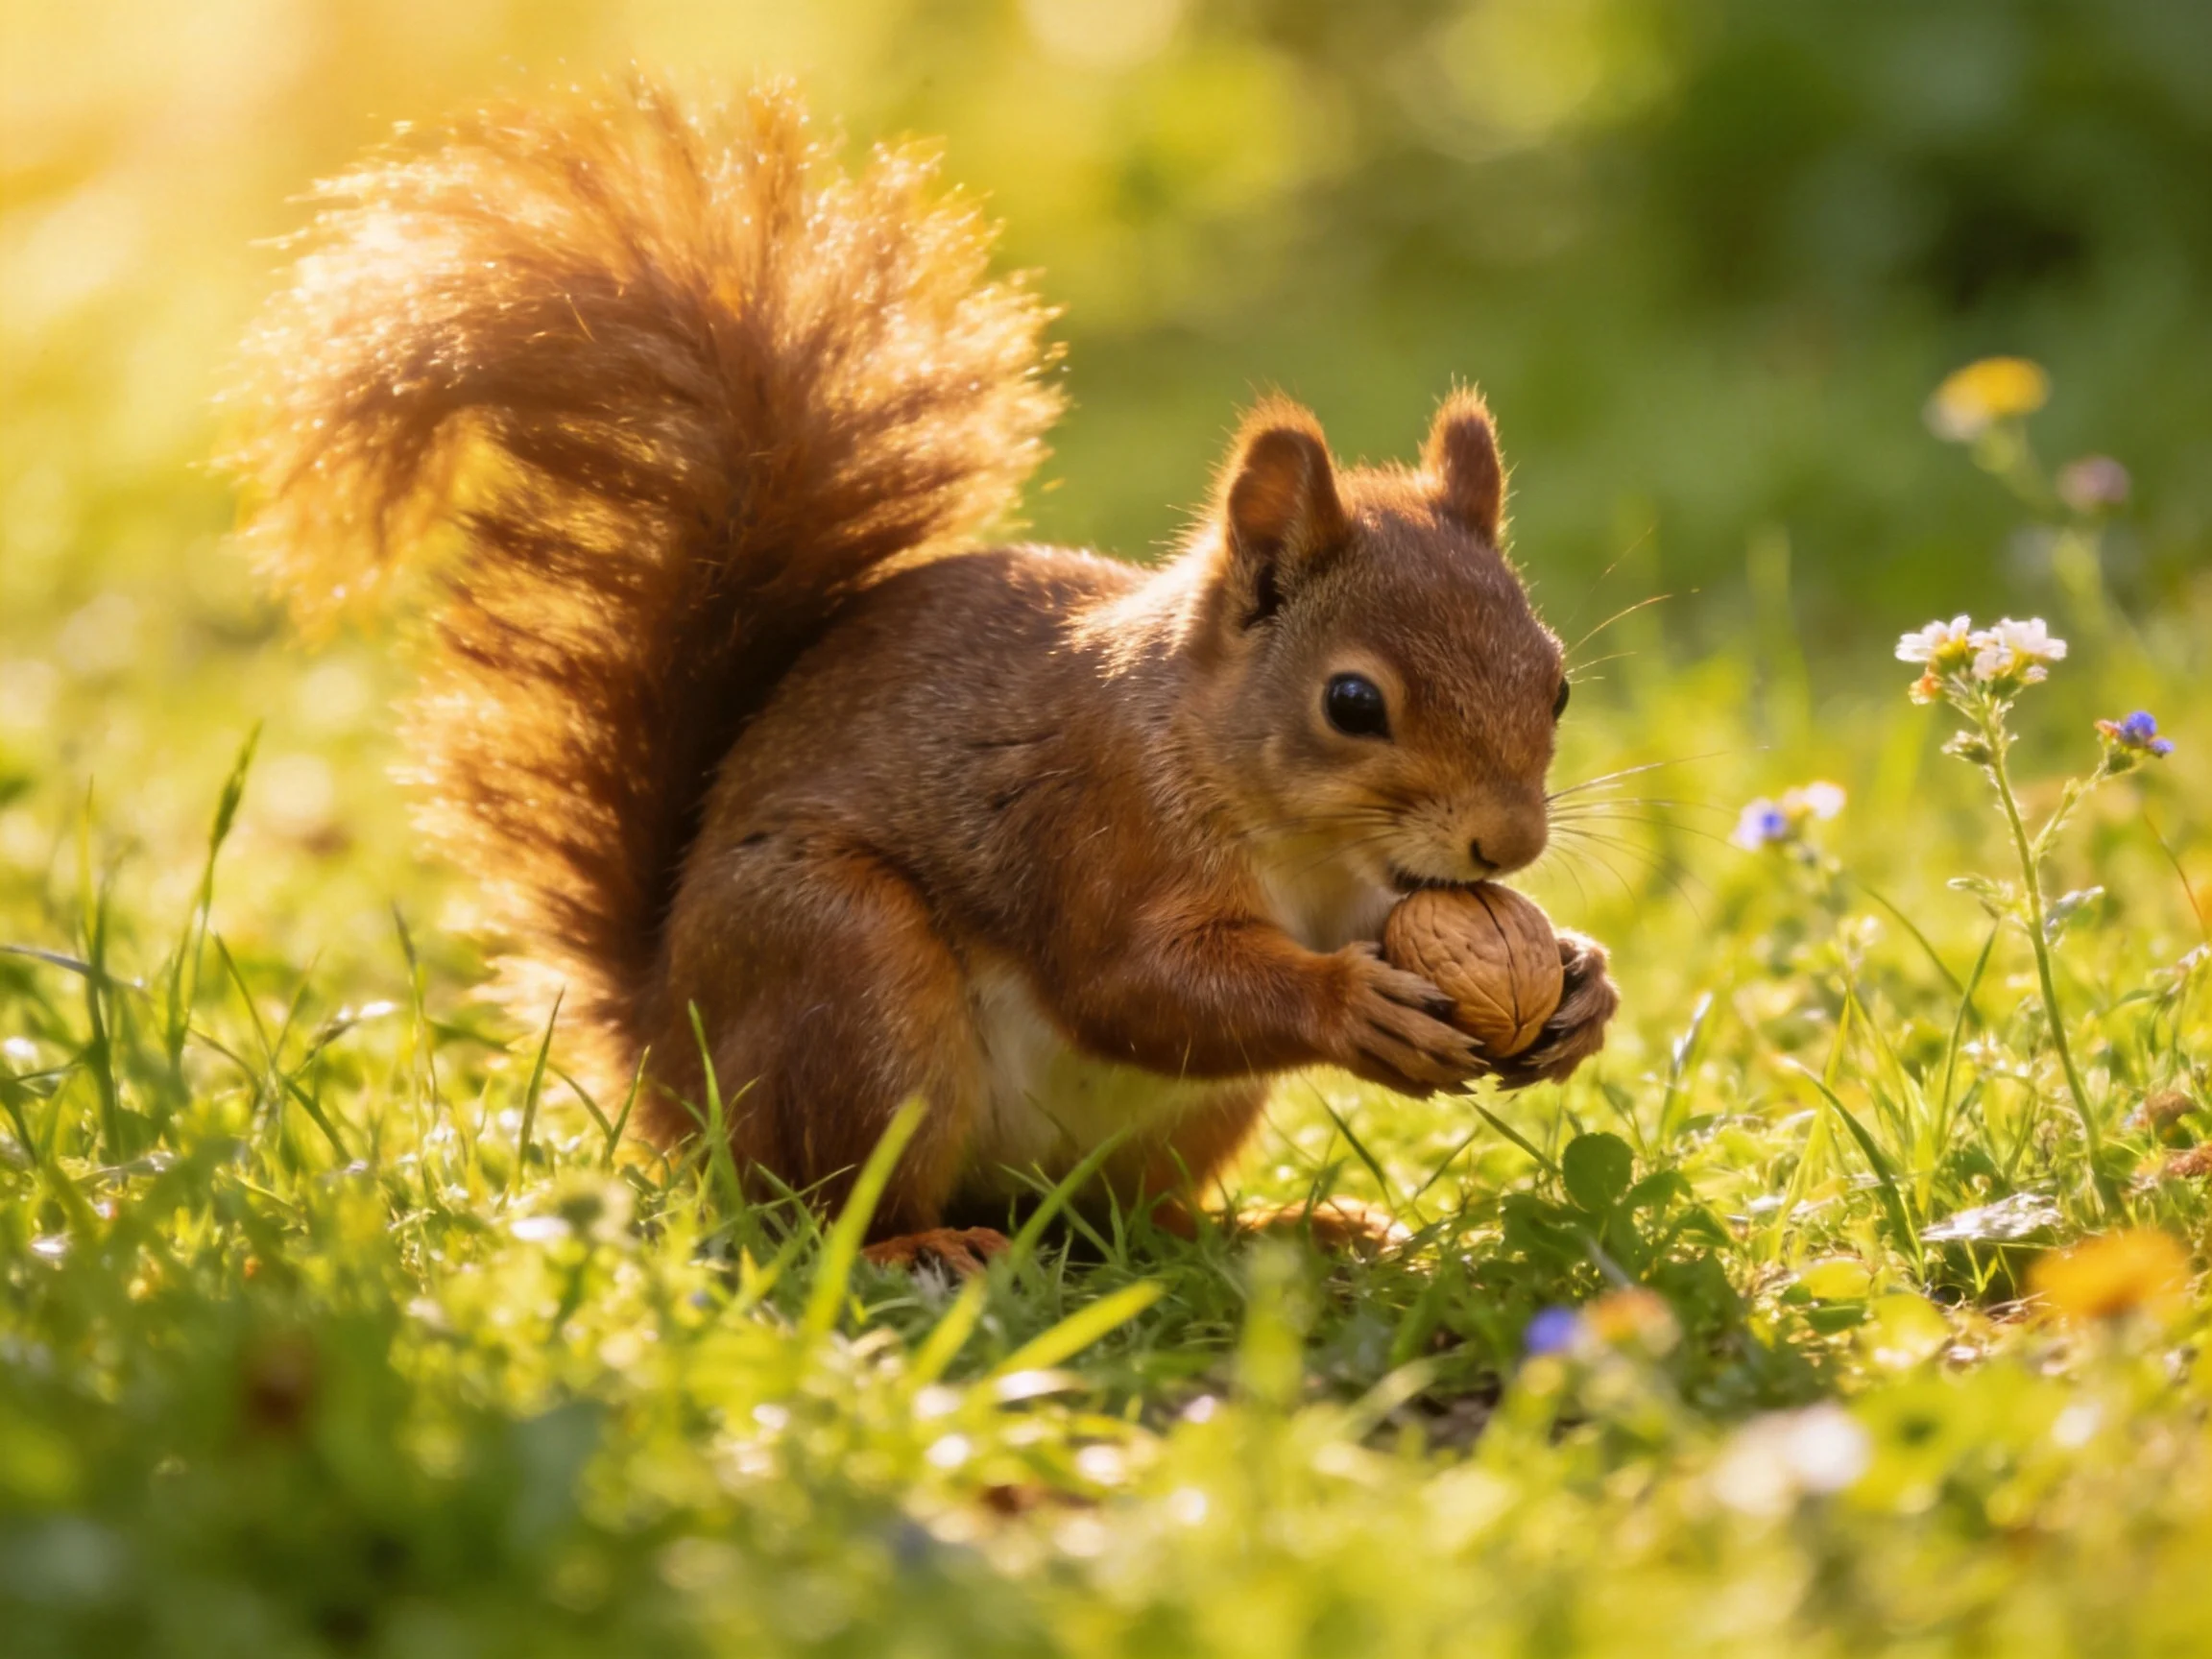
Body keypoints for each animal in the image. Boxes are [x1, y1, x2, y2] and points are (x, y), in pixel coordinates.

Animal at [227, 77, 1617, 1264]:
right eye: (1352, 703)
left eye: (1555, 682)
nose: (1508, 845)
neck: (1299, 837)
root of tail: (670, 1059)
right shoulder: (1092, 825)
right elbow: (1132, 981)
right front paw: (1350, 1007)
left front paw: (1582, 985)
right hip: (849, 977)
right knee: (815, 1212)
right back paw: (920, 1246)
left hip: (1169, 1125)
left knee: (1133, 1223)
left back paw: (1274, 1229)